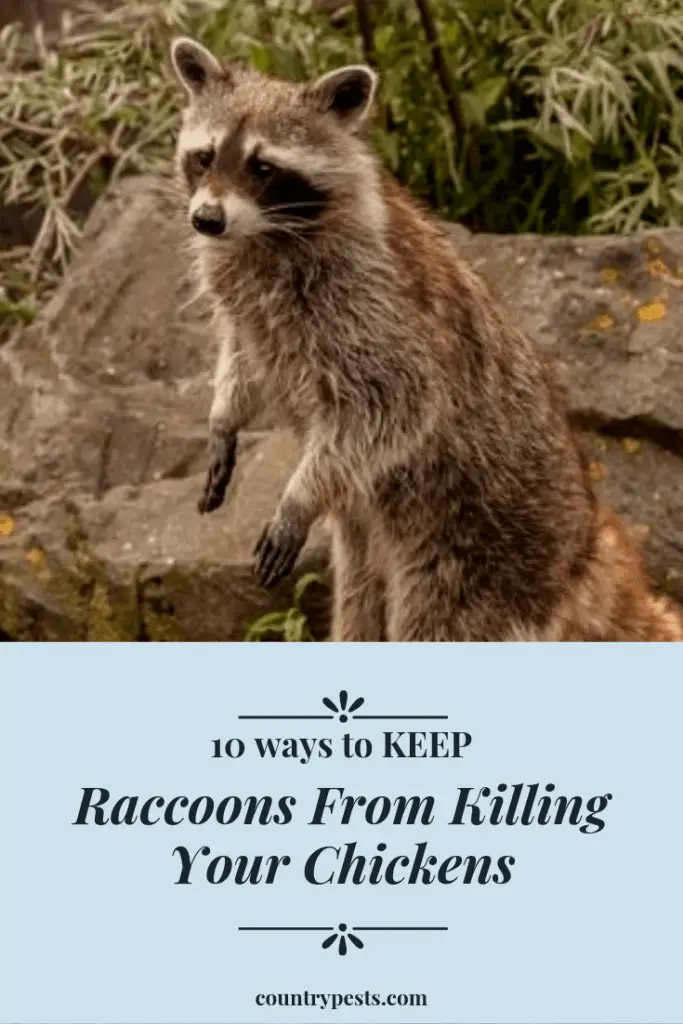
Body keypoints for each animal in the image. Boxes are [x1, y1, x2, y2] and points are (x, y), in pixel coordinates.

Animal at [169, 36, 683, 641]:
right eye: (204, 156)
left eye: (264, 167)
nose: (206, 219)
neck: (265, 235)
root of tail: (584, 549)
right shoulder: (250, 305)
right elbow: (242, 356)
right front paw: (224, 417)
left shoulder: (372, 306)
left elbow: (396, 405)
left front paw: (301, 494)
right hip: (372, 540)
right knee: (359, 597)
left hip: (475, 553)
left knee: (436, 621)